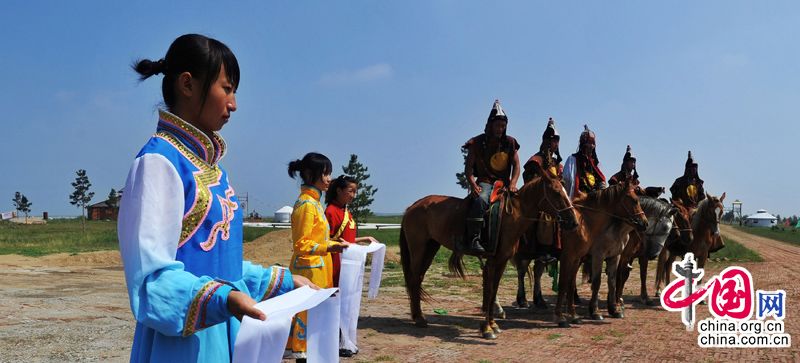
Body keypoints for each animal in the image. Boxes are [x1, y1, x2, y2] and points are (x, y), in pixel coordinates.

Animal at [398, 171, 576, 342]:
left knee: (418, 278)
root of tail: (412, 207)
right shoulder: (492, 262)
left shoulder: (502, 261)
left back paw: (417, 315)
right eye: (556, 193)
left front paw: (493, 325)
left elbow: (493, 291)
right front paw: (487, 329)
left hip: (430, 248)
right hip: (418, 248)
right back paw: (419, 318)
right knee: (414, 280)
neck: (511, 216)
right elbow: (490, 291)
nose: (573, 222)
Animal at [556, 182, 648, 328]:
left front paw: (614, 309)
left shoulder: (615, 257)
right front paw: (595, 311)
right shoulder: (598, 256)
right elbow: (597, 282)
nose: (644, 223)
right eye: (634, 200)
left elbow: (612, 281)